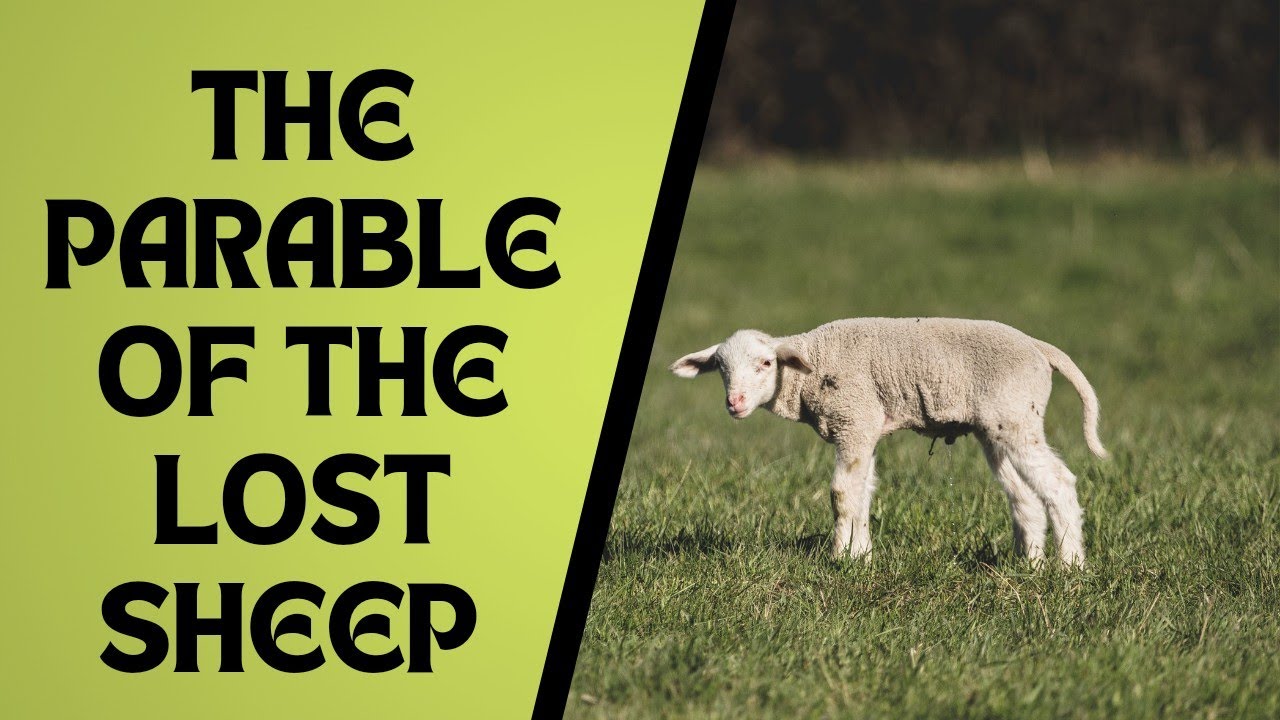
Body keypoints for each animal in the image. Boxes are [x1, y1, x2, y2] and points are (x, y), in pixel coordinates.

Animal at [670, 317, 1108, 567]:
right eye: (721, 368)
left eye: (766, 364)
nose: (735, 403)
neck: (808, 370)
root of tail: (1039, 347)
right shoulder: (864, 427)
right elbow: (863, 493)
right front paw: (861, 555)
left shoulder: (854, 419)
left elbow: (841, 493)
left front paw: (840, 559)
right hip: (997, 426)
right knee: (1024, 496)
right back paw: (1030, 566)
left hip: (1017, 416)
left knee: (1059, 484)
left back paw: (1070, 567)